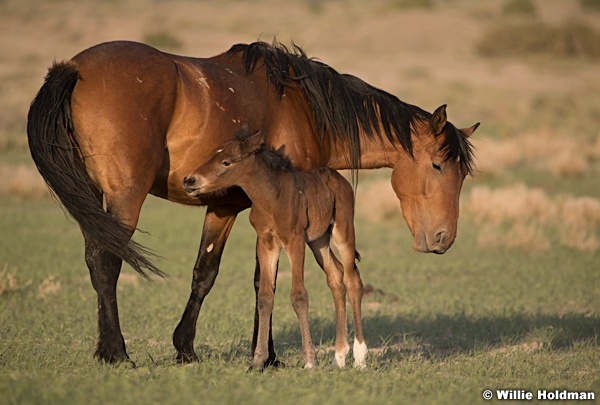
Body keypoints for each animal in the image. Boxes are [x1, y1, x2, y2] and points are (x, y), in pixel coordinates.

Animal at [27, 39, 478, 364]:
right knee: (108, 263)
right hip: (125, 197)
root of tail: (74, 68)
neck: (304, 106)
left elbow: (208, 274)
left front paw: (186, 348)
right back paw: (116, 353)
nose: (444, 238)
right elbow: (268, 280)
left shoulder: (225, 207)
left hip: (93, 199)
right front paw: (269, 356)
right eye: (438, 165)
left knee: (95, 260)